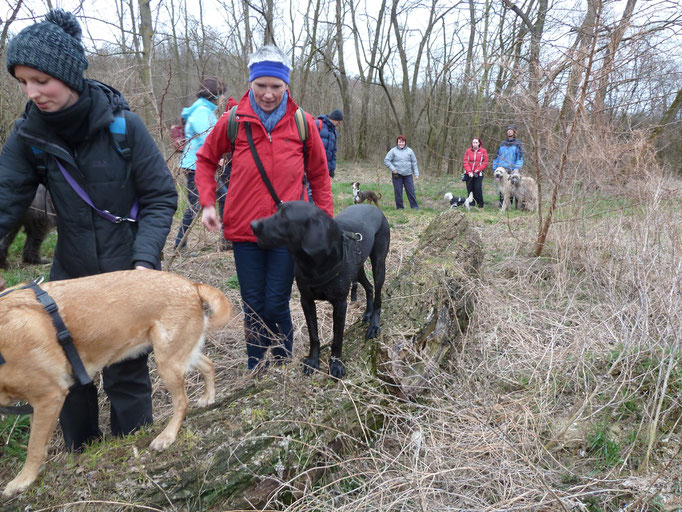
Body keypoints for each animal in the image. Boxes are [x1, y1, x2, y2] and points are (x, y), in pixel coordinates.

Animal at [0, 270, 231, 494]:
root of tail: (191, 285)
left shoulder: (48, 398)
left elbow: (34, 446)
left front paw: (23, 480)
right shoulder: (36, 405)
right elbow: (39, 442)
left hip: (167, 363)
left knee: (182, 402)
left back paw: (167, 436)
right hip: (177, 355)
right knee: (208, 364)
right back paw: (208, 397)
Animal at [250, 202, 388, 378]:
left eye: (284, 217)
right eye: (276, 210)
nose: (252, 225)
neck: (314, 261)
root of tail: (373, 208)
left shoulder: (340, 304)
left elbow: (337, 338)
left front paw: (336, 364)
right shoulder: (306, 301)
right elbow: (313, 335)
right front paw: (313, 360)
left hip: (379, 264)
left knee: (378, 295)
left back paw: (374, 324)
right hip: (357, 269)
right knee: (369, 287)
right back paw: (367, 313)